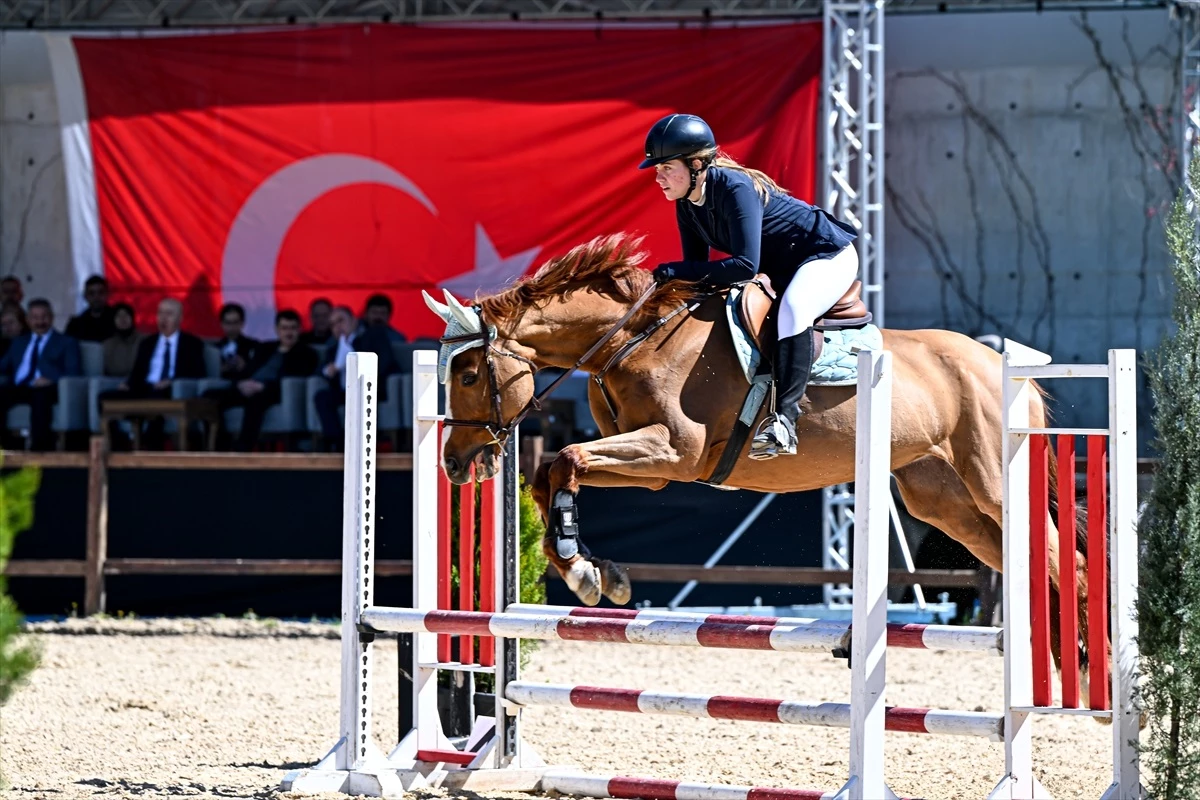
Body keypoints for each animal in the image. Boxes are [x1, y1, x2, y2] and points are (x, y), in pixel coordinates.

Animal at [417, 230, 1094, 676]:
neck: (632, 338)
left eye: (470, 374)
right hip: (941, 499)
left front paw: (586, 574)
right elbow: (549, 470)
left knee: (1066, 560)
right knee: (1024, 557)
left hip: (993, 483)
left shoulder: (672, 453)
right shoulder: (652, 466)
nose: (456, 463)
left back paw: (1089, 668)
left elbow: (568, 460)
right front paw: (594, 572)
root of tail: (1004, 366)